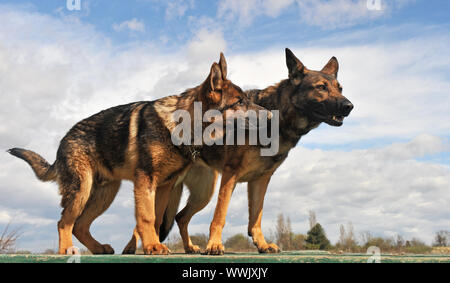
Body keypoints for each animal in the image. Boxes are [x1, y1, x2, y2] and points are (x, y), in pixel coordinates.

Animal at [7, 53, 268, 258]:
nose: (270, 115)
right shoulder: (146, 180)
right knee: (65, 222)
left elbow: (155, 217)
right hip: (82, 189)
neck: (183, 125)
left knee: (80, 225)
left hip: (104, 194)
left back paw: (98, 248)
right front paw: (152, 246)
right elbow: (146, 216)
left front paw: (152, 245)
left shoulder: (164, 186)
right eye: (240, 102)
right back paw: (66, 250)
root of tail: (63, 141)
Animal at [125, 48, 354, 255]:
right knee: (145, 221)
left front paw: (262, 244)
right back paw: (135, 248)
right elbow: (220, 216)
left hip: (202, 194)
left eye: (340, 88)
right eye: (321, 87)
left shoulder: (261, 180)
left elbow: (256, 218)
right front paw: (214, 245)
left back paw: (189, 247)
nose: (349, 106)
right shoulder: (230, 175)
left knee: (180, 217)